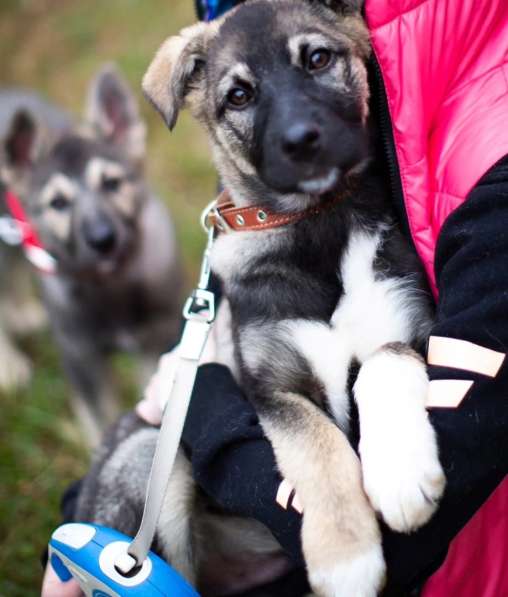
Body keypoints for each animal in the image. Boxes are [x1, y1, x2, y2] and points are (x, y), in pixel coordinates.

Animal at [0, 67, 183, 444]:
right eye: (58, 203)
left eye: (112, 183)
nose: (103, 240)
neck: (111, 285)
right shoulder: (82, 359)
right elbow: (99, 420)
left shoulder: (158, 340)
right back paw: (8, 364)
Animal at [74, 2, 444, 592]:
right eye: (239, 96)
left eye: (317, 59)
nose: (300, 140)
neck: (320, 227)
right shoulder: (272, 389)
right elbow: (319, 451)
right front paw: (346, 558)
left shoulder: (413, 325)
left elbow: (382, 363)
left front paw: (400, 473)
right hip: (149, 457)